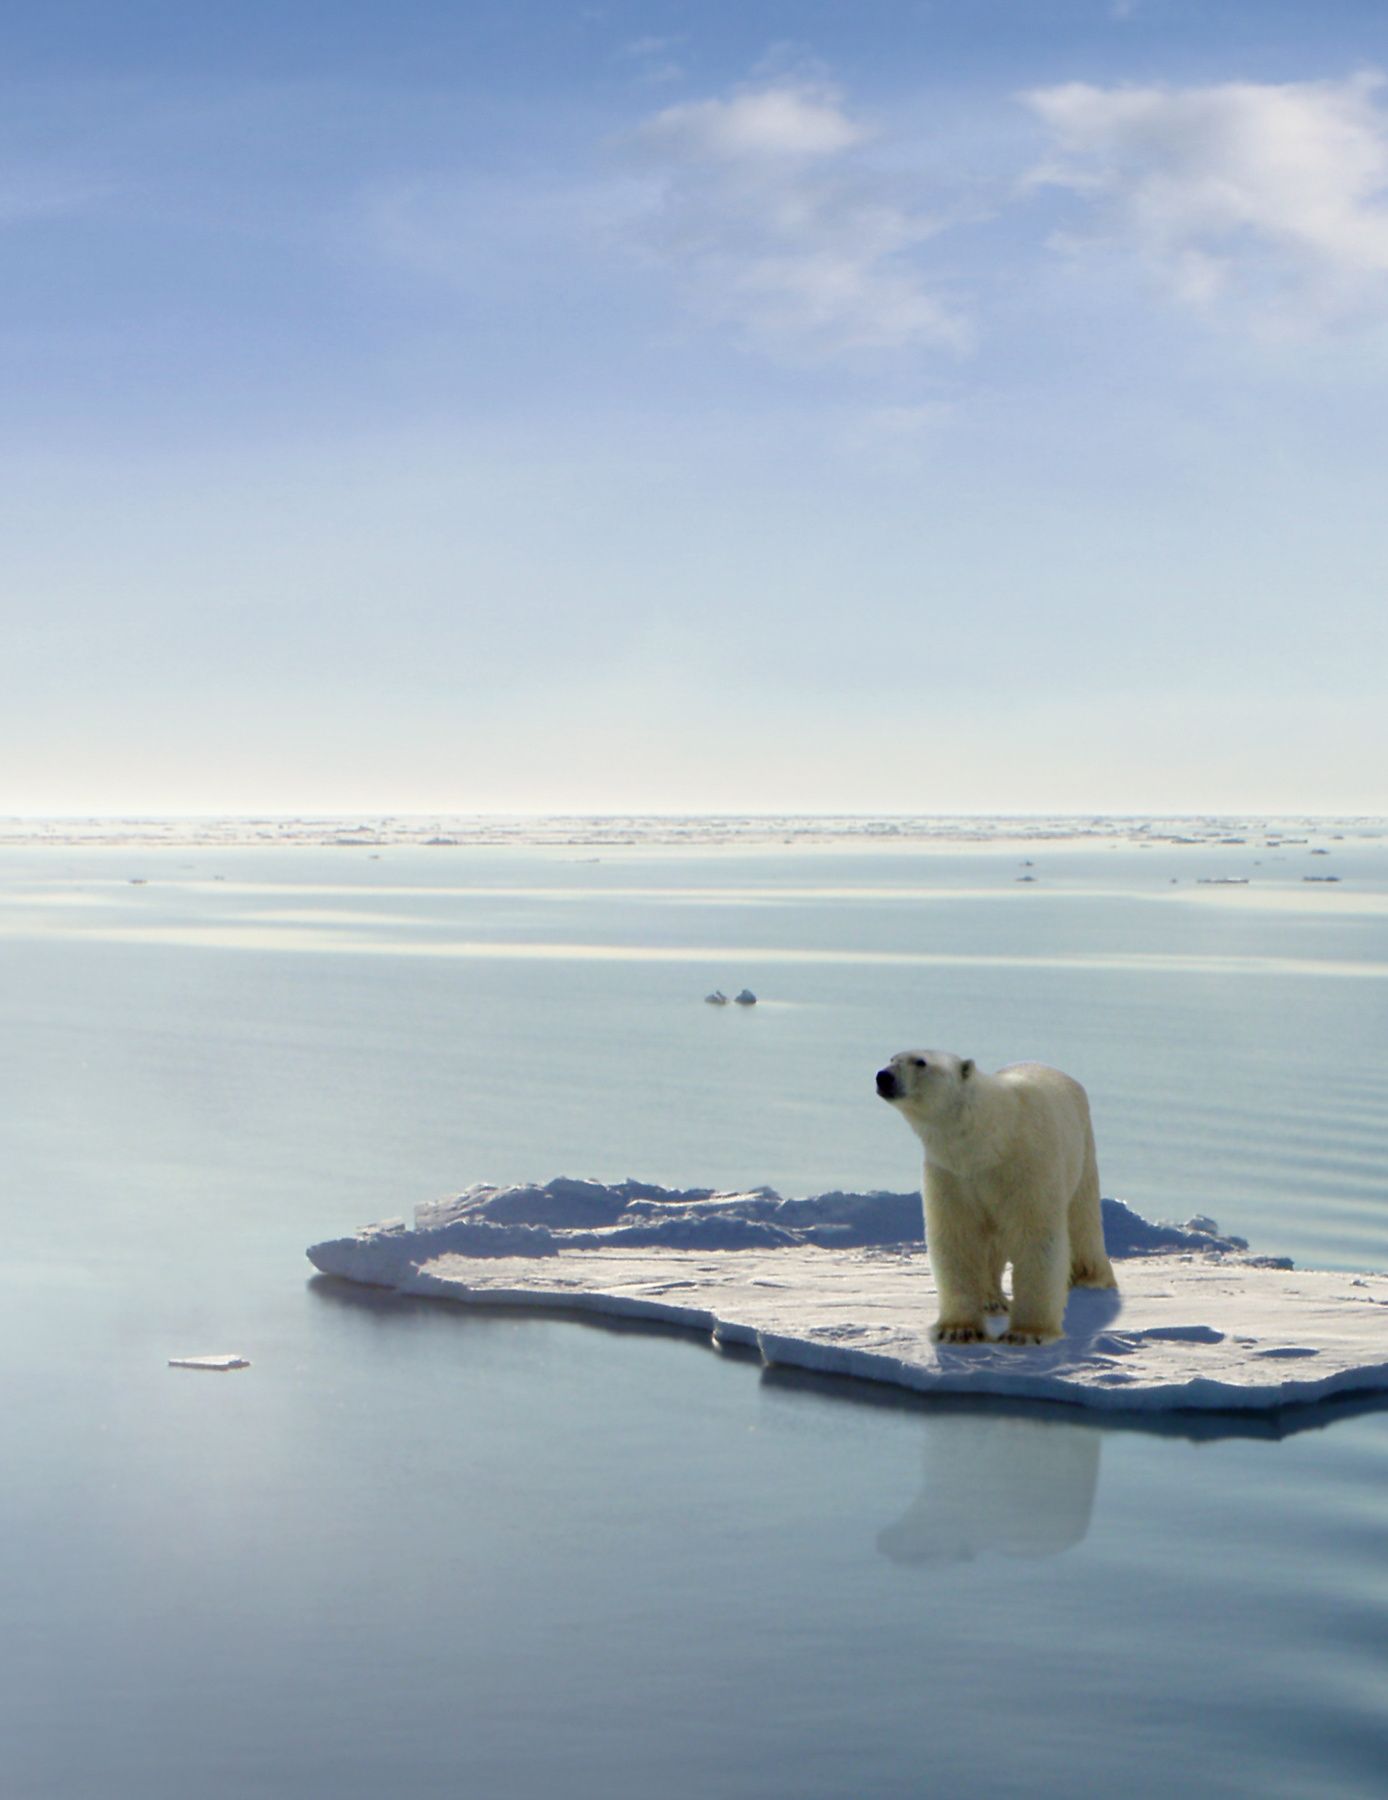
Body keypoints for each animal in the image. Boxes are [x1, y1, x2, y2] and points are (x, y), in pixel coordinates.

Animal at [875, 1050, 1116, 1345]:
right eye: (892, 1058)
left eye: (920, 1062)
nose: (883, 1076)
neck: (990, 1141)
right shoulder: (952, 1175)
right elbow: (958, 1238)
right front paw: (959, 1330)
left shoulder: (1028, 1167)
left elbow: (1036, 1237)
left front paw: (1026, 1333)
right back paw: (992, 1300)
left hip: (1081, 1152)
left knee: (1083, 1220)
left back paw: (1092, 1278)